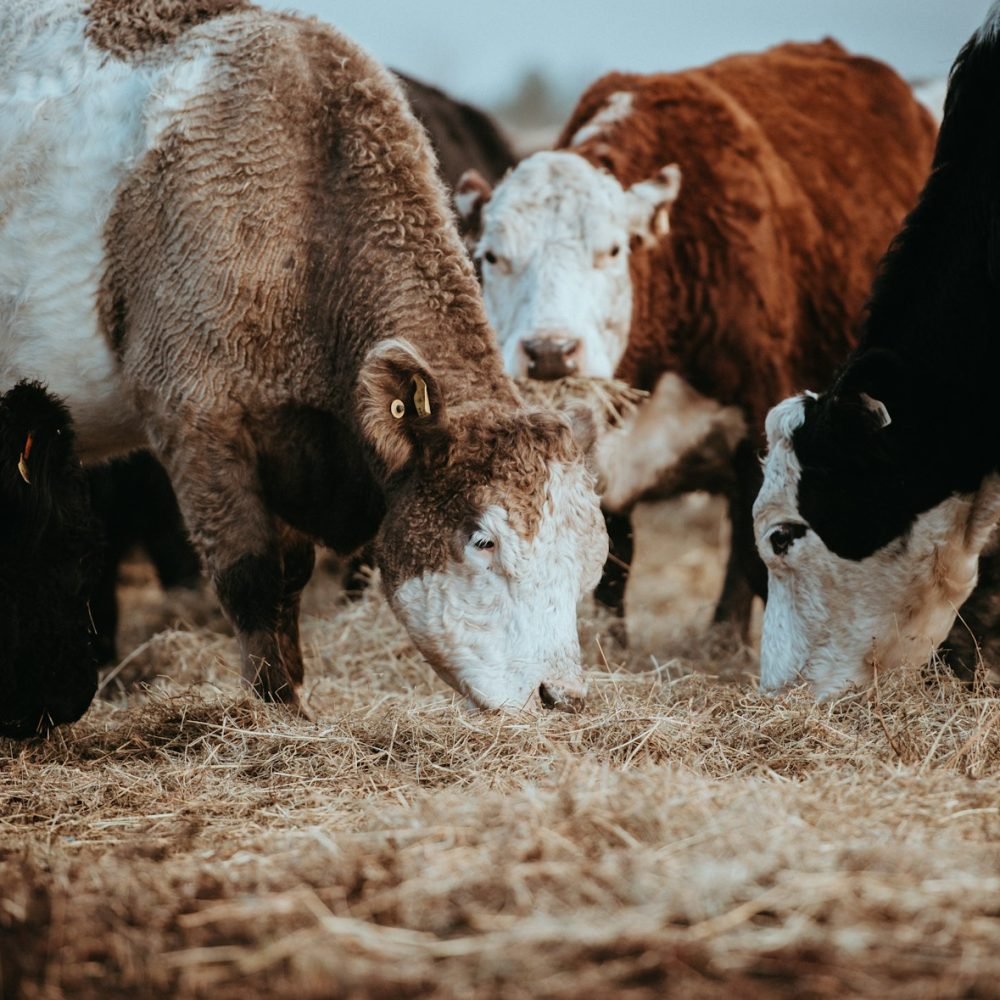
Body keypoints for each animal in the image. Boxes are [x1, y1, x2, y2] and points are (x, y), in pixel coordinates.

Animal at [458, 39, 940, 636]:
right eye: (491, 256)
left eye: (612, 250)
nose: (550, 352)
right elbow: (612, 561)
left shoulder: (761, 430)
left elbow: (757, 556)